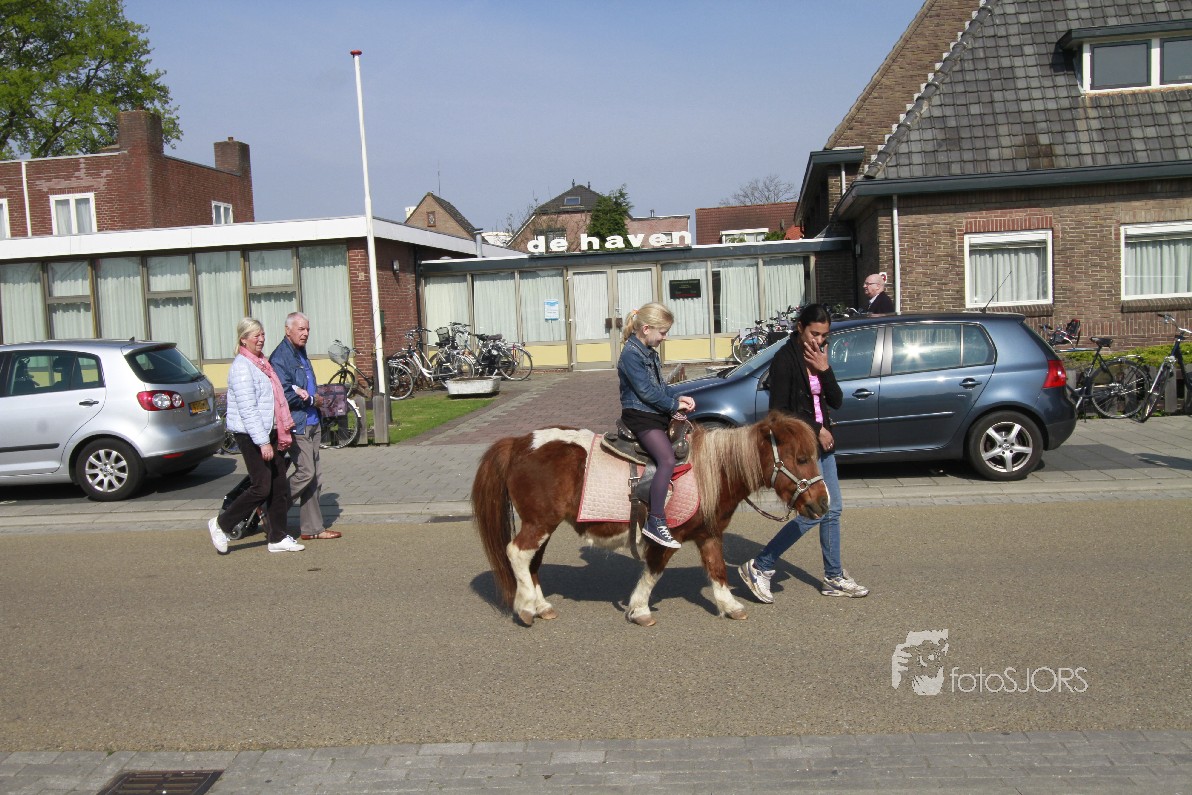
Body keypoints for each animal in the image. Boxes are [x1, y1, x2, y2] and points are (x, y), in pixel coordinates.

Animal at [471, 411, 829, 626]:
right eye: (801, 458)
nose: (823, 504)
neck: (711, 470)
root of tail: (518, 444)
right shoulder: (668, 537)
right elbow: (654, 571)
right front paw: (640, 609)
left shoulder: (709, 533)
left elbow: (717, 570)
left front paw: (730, 606)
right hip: (539, 523)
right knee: (517, 553)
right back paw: (525, 607)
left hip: (543, 524)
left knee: (531, 562)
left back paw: (540, 605)